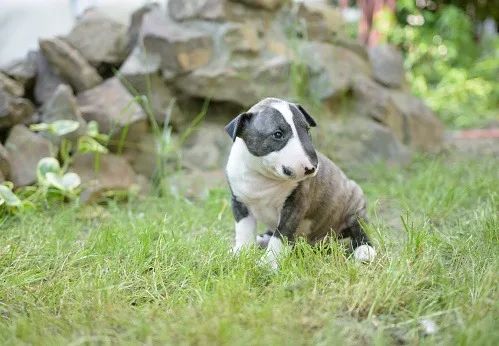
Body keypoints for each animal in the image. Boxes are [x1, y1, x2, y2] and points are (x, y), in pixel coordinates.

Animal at [225, 97, 376, 270]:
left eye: (307, 130)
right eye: (278, 134)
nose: (312, 167)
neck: (263, 177)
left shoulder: (294, 205)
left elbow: (280, 236)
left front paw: (268, 263)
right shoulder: (239, 202)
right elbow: (244, 230)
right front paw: (241, 253)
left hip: (355, 204)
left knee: (359, 230)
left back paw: (364, 251)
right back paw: (260, 239)